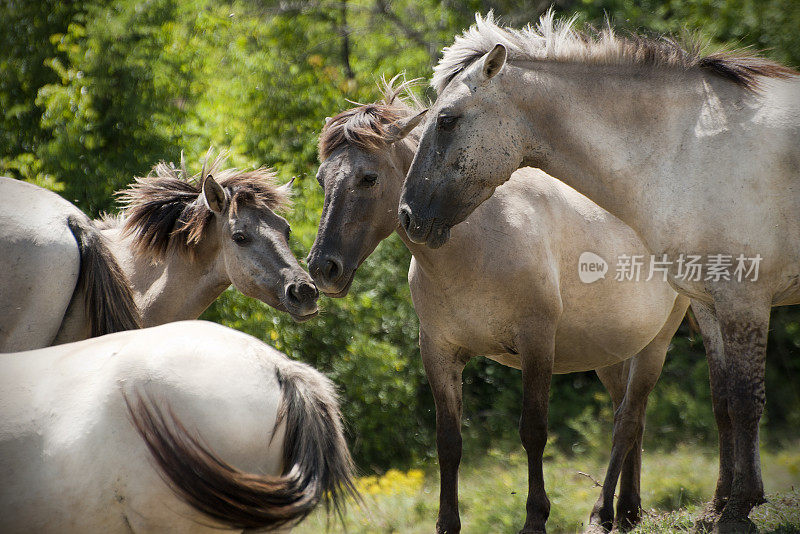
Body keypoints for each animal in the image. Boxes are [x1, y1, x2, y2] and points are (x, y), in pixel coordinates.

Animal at [306, 80, 688, 534]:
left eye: (368, 178)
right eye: (321, 179)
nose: (323, 268)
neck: (476, 242)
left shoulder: (536, 344)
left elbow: (533, 431)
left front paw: (535, 518)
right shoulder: (439, 351)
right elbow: (448, 442)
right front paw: (447, 523)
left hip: (657, 344)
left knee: (627, 421)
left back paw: (603, 512)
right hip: (613, 354)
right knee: (632, 418)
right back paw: (629, 510)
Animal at [400, 11, 800, 532]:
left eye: (446, 121)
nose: (407, 216)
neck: (690, 150)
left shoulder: (745, 298)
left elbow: (747, 399)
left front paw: (738, 511)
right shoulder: (714, 303)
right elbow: (727, 400)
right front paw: (732, 503)